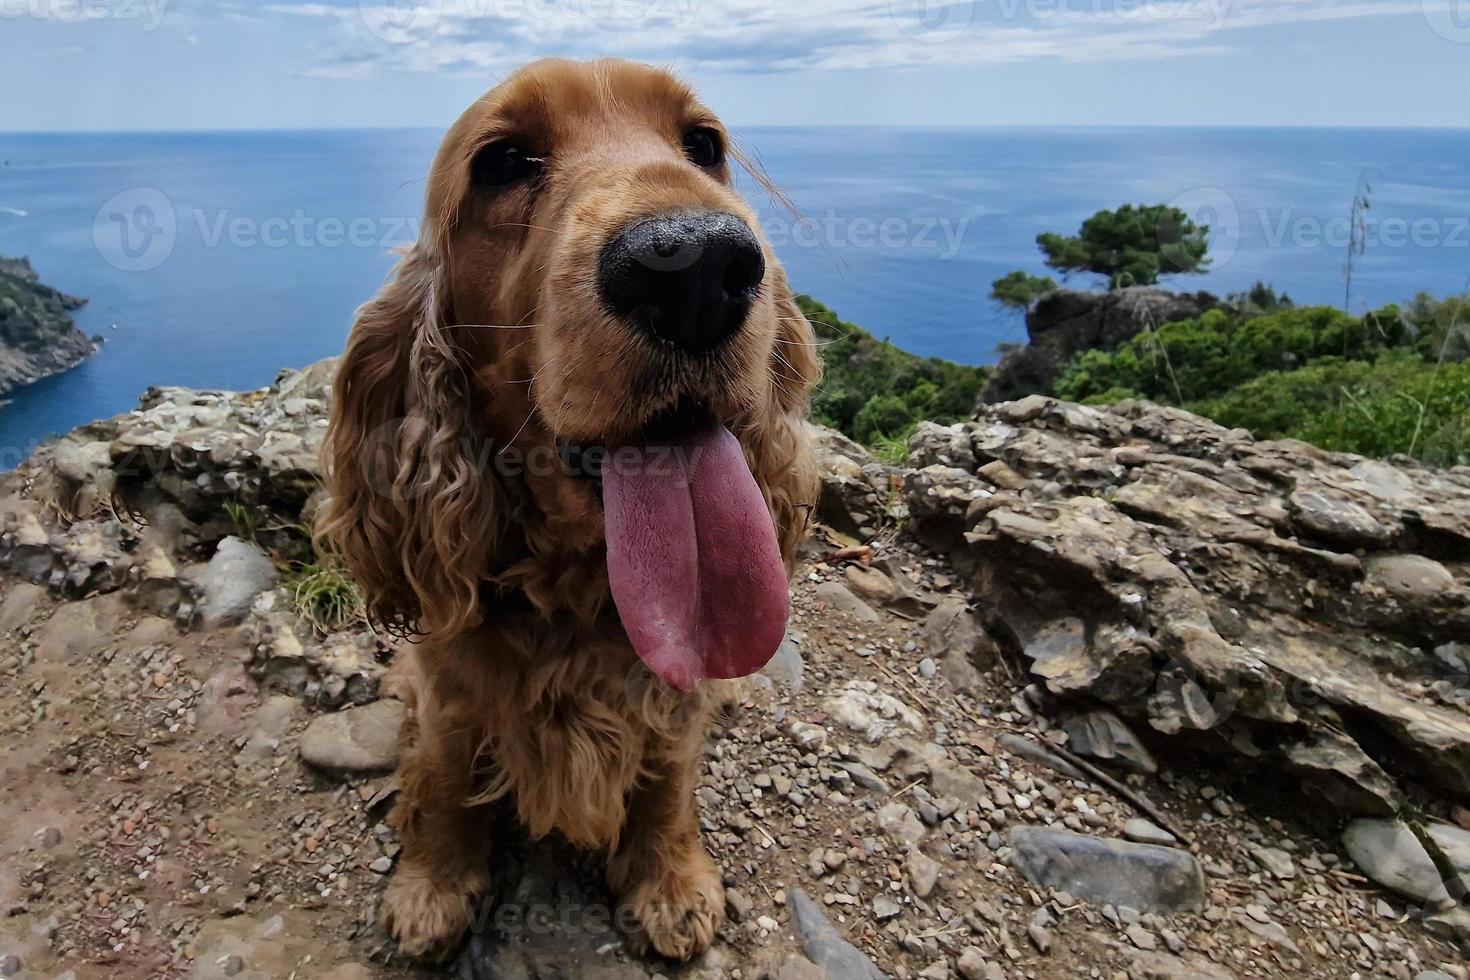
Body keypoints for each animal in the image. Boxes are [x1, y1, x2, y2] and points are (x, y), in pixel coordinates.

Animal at [320, 57, 823, 963]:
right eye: (501, 162)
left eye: (704, 144)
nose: (696, 268)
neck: (578, 593)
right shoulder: (451, 692)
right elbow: (444, 776)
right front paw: (431, 885)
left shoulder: (672, 702)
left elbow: (666, 780)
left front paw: (669, 882)